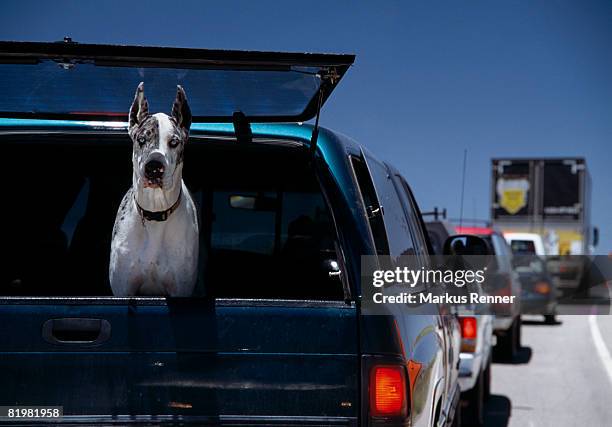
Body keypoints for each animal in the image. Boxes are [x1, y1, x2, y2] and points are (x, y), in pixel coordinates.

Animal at [107, 82, 198, 296]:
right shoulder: (123, 290)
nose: (154, 167)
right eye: (141, 139)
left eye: (174, 142)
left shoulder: (180, 290)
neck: (155, 212)